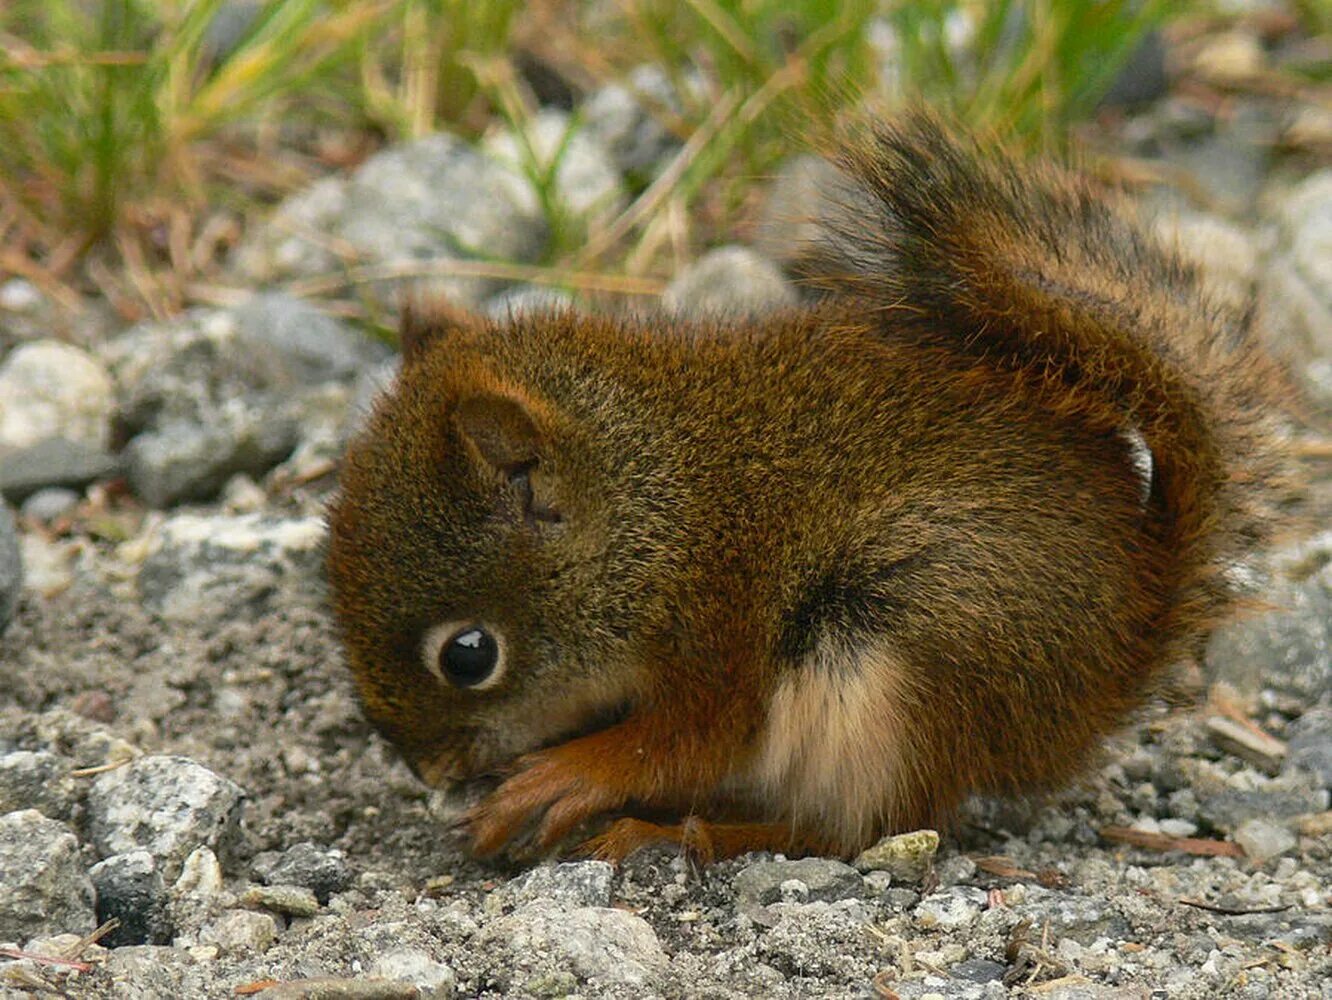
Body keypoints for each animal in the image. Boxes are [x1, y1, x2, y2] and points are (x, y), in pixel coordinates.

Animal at [327, 107, 1294, 862]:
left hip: (903, 661)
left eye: (469, 655)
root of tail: (1111, 669)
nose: (427, 771)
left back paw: (688, 831)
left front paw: (561, 781)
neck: (657, 508)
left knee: (866, 829)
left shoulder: (717, 631)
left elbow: (685, 741)